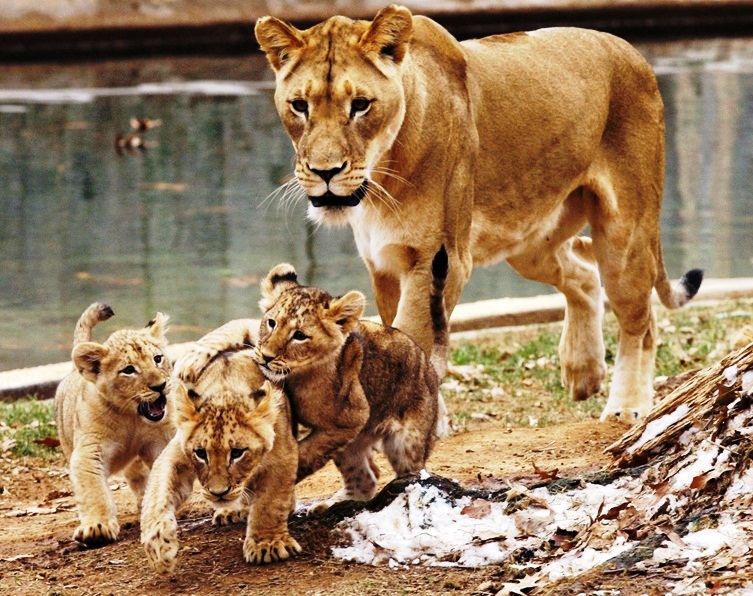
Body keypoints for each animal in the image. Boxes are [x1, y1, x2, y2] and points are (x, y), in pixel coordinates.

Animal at [256, 3, 704, 420]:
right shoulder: (383, 264)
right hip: (530, 242)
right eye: (299, 106)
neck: (383, 177)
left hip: (624, 233)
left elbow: (413, 335)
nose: (325, 172)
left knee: (640, 320)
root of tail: (635, 53)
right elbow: (394, 335)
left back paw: (627, 406)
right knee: (582, 274)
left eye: (361, 105)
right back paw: (583, 372)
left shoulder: (437, 260)